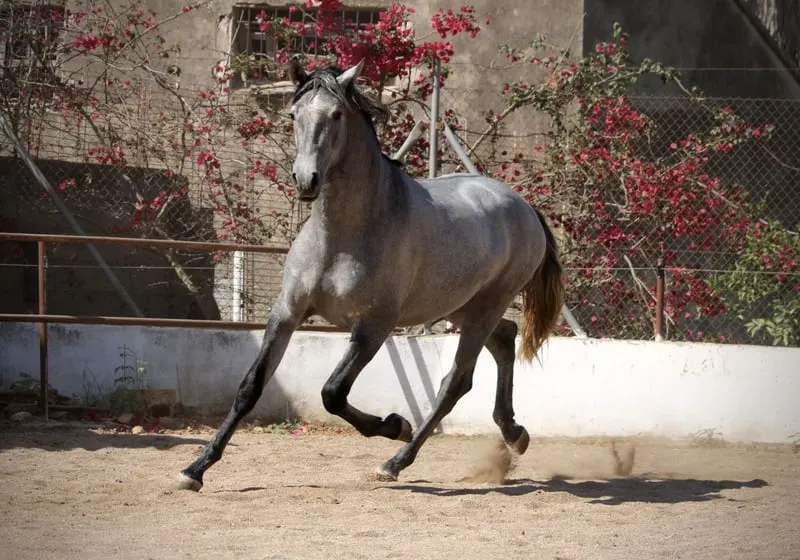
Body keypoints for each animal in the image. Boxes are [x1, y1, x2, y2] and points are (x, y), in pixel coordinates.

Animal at [175, 59, 565, 491]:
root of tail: (525, 207)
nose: (306, 180)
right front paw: (195, 469)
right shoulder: (287, 312)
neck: (343, 237)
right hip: (461, 307)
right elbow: (250, 387)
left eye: (336, 114)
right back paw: (514, 433)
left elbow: (332, 392)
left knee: (455, 382)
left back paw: (396, 461)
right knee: (504, 341)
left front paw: (394, 424)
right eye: (293, 115)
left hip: (486, 307)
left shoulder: (374, 326)